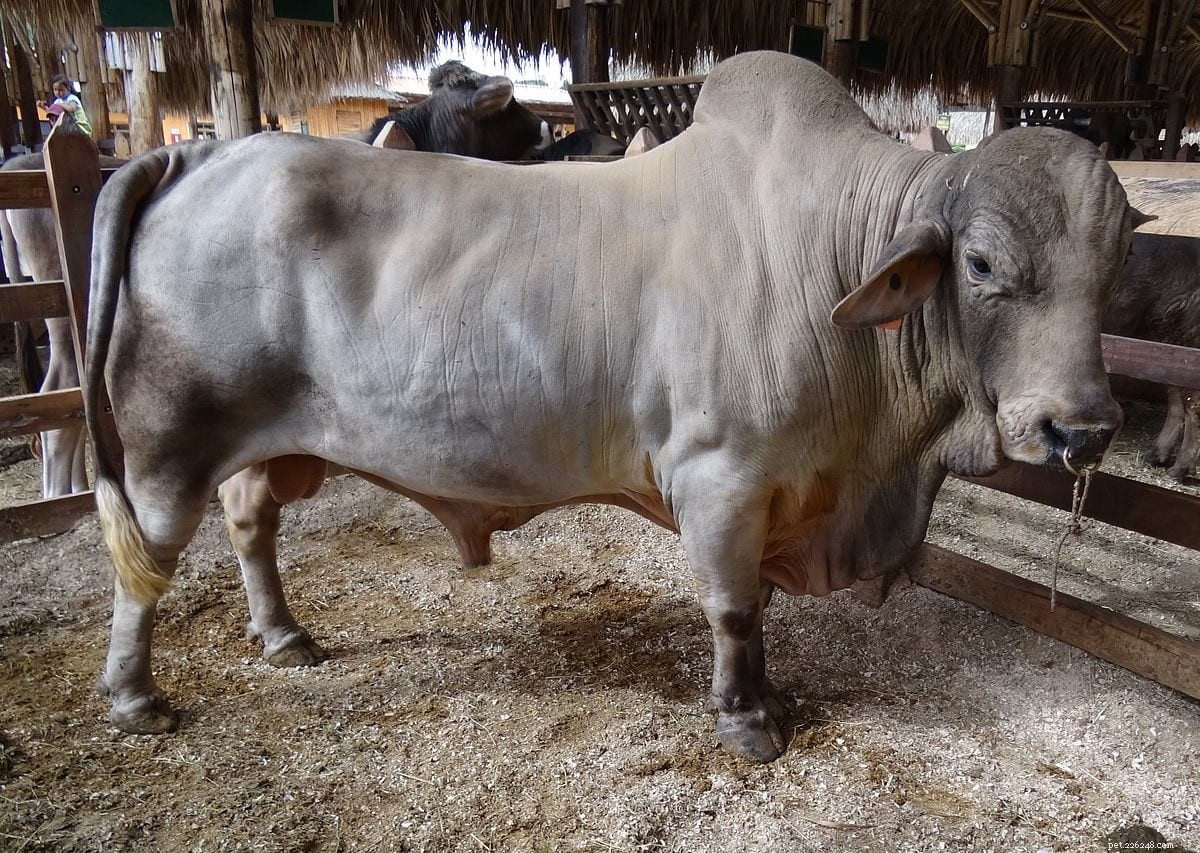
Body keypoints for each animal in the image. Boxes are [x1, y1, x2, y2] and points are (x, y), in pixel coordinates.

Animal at [1105, 232, 1200, 482]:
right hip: (1167, 348)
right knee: (1176, 400)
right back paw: (1156, 457)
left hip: (1185, 342)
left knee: (1192, 405)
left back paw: (1178, 471)